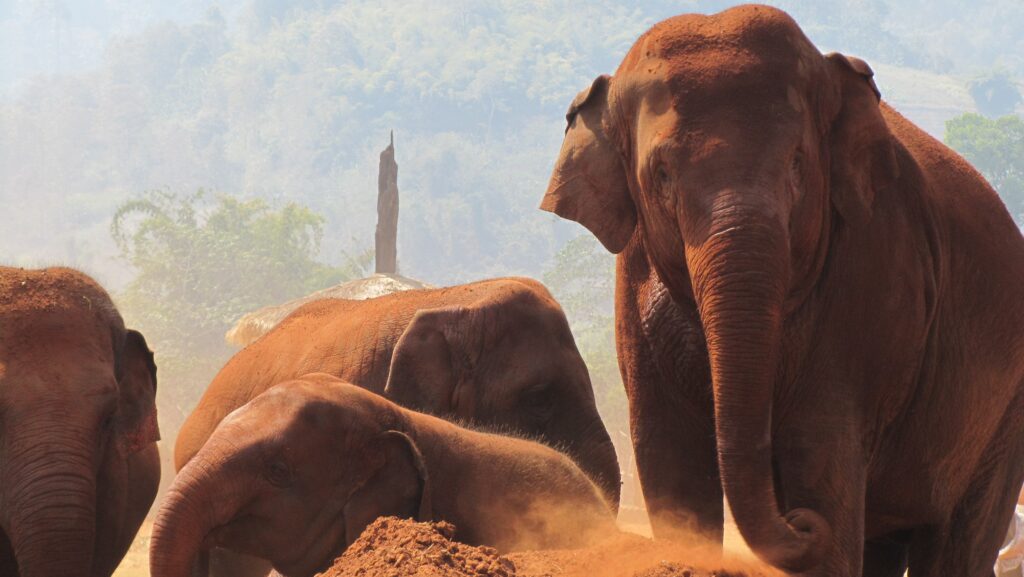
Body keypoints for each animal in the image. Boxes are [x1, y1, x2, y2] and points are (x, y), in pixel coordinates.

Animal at [540, 4, 1024, 577]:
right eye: (660, 174)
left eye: (797, 163)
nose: (798, 522)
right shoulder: (633, 286)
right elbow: (671, 462)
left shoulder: (875, 272)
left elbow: (820, 453)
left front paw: (816, 521)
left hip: (1004, 411)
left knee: (959, 537)